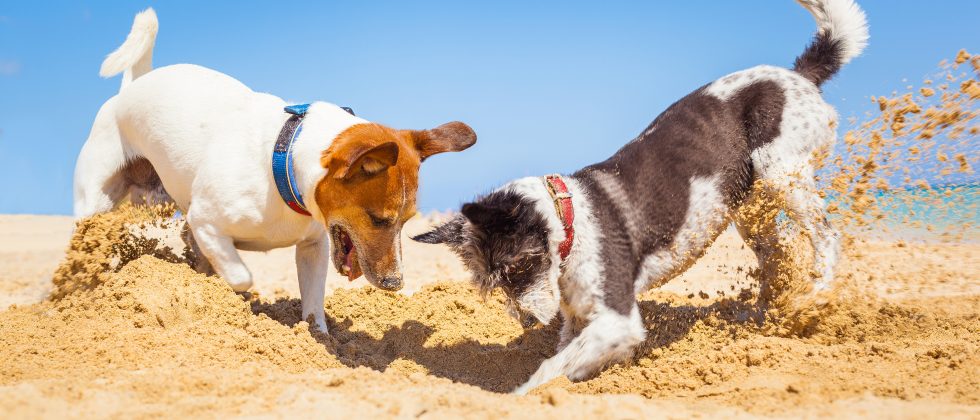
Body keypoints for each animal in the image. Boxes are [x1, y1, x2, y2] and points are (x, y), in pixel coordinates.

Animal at [74, 8, 476, 334]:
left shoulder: (314, 246)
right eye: (378, 219)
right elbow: (240, 276)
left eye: (407, 221)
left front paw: (318, 337)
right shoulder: (206, 222)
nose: (395, 284)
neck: (283, 165)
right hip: (95, 204)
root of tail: (132, 87)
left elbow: (313, 303)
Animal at [412, 0, 864, 394]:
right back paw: (762, 317)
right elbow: (568, 356)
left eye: (517, 268)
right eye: (490, 283)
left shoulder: (618, 319)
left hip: (782, 172)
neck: (570, 220)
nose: (524, 322)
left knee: (827, 237)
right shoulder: (579, 320)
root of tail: (799, 76)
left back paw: (813, 298)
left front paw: (519, 396)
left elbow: (550, 368)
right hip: (750, 207)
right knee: (776, 255)